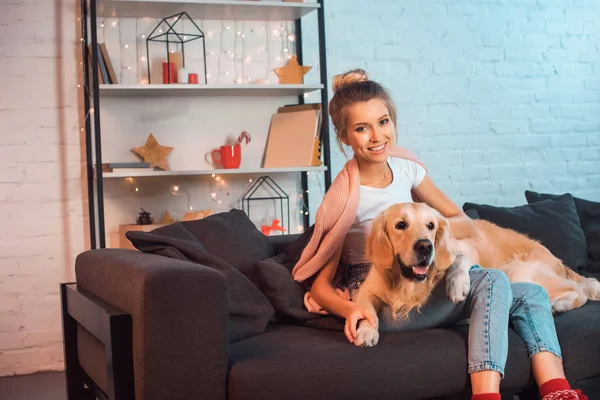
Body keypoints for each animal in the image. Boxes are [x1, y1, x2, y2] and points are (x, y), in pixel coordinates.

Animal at [352, 203, 600, 346]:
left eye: (431, 226)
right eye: (400, 225)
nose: (425, 247)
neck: (409, 283)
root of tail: (556, 258)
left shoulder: (462, 249)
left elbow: (460, 259)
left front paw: (457, 283)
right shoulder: (368, 288)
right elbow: (364, 310)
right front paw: (366, 330)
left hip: (517, 270)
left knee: (577, 291)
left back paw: (559, 305)